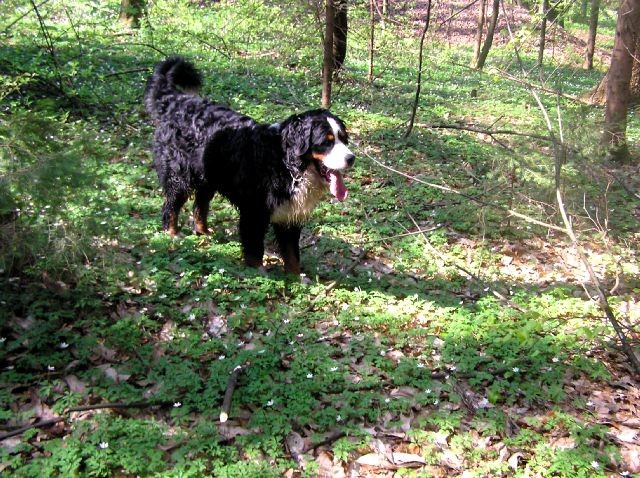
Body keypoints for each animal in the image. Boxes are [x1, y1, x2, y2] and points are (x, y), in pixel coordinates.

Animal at [145, 55, 356, 272]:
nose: (351, 158)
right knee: (171, 206)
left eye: (343, 138)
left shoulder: (288, 215)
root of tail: (177, 102)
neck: (286, 163)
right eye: (326, 141)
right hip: (179, 177)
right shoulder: (254, 212)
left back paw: (204, 231)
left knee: (200, 205)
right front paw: (258, 272)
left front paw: (295, 279)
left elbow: (292, 258)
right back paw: (173, 234)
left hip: (208, 177)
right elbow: (255, 252)